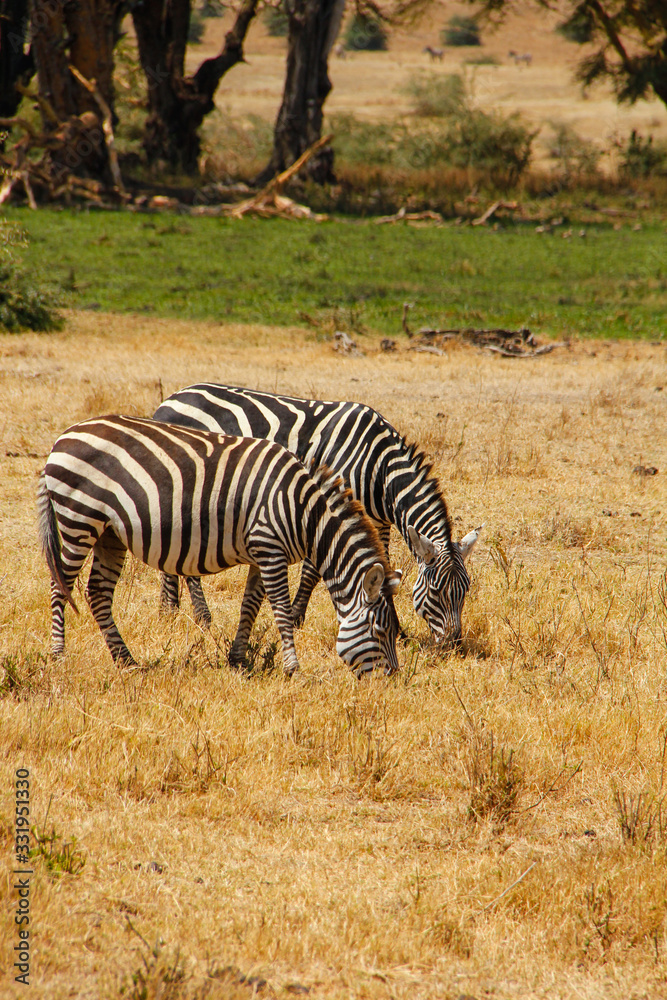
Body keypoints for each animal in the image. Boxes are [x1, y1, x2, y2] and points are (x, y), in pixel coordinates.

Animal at [38, 415, 402, 676]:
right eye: (381, 630)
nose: (391, 680)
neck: (304, 514)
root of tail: (61, 439)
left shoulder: (260, 554)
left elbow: (250, 605)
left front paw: (237, 659)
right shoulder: (270, 550)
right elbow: (281, 611)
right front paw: (293, 668)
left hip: (109, 534)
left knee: (98, 593)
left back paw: (126, 661)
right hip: (78, 520)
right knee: (60, 585)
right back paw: (58, 655)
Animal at [153, 385, 480, 645]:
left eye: (465, 591)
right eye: (436, 591)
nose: (454, 644)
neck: (378, 471)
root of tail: (170, 399)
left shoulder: (379, 522)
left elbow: (382, 564)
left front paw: (396, 628)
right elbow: (312, 571)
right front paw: (296, 618)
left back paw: (169, 609)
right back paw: (199, 616)